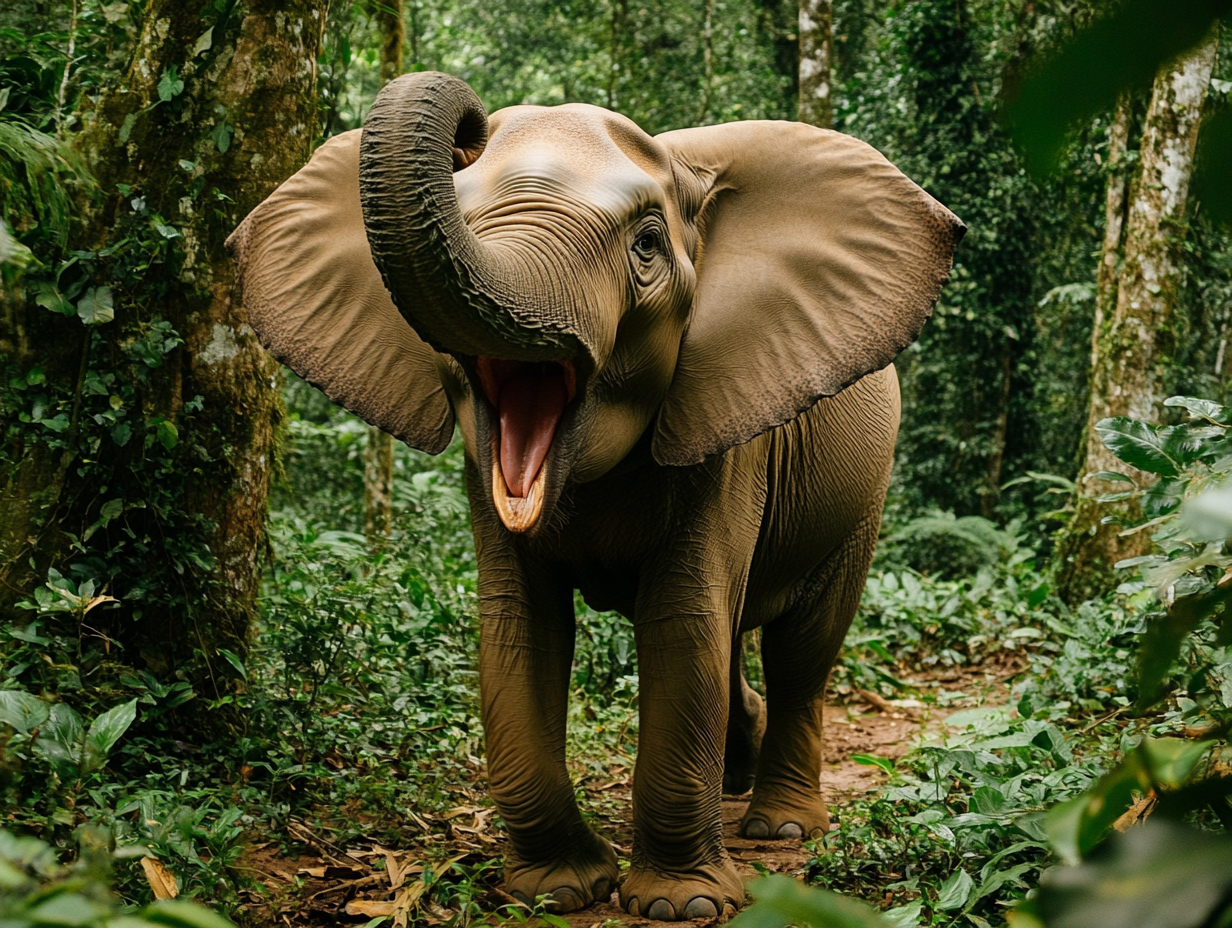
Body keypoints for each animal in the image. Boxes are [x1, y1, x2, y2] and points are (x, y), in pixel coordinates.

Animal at [228, 71, 963, 920]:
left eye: (646, 245)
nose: (469, 122)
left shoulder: (727, 430)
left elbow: (682, 620)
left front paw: (682, 905)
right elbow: (520, 626)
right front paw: (560, 891)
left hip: (864, 491)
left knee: (803, 645)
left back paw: (780, 826)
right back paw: (734, 785)